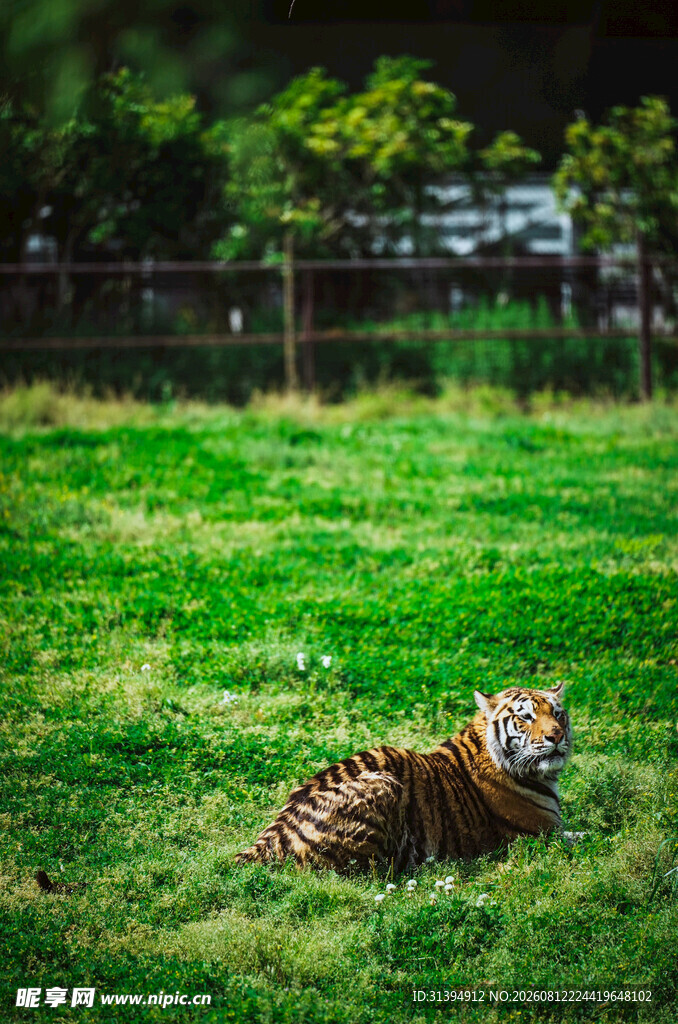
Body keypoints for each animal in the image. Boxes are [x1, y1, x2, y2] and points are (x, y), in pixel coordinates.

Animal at [235, 682, 572, 872]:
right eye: (526, 717)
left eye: (558, 714)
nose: (556, 736)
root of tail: (272, 835)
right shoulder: (542, 833)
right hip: (384, 786)